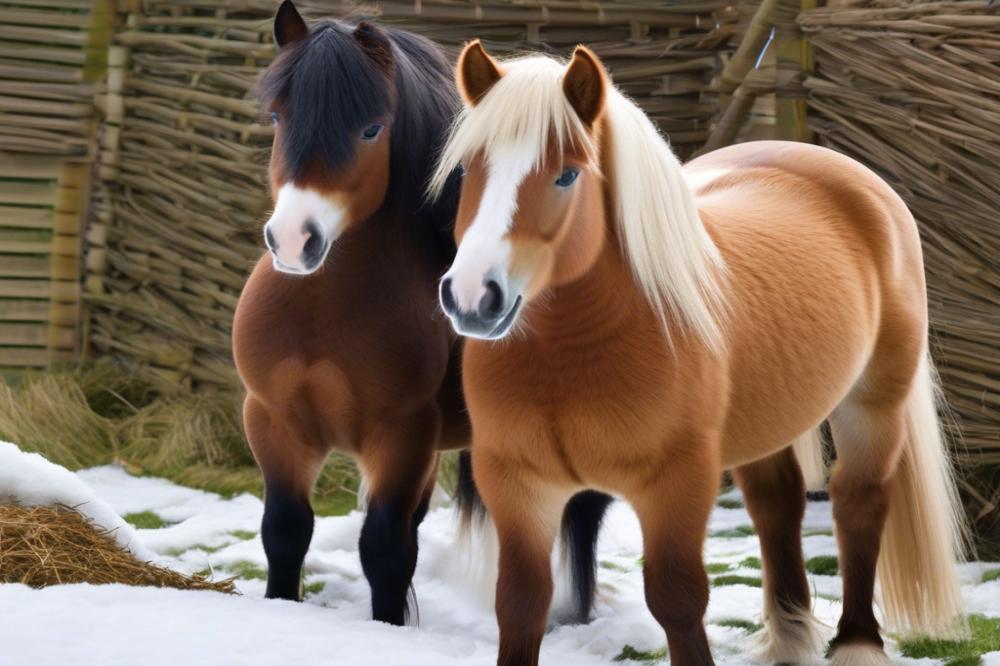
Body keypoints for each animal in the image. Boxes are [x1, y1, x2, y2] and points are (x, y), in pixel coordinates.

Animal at [432, 41, 968, 664]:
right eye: (469, 170)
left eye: (567, 174)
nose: (473, 296)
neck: (567, 358)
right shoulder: (518, 485)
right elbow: (520, 603)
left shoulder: (677, 482)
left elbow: (677, 598)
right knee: (777, 503)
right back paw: (789, 634)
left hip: (874, 403)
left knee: (856, 502)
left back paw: (857, 641)